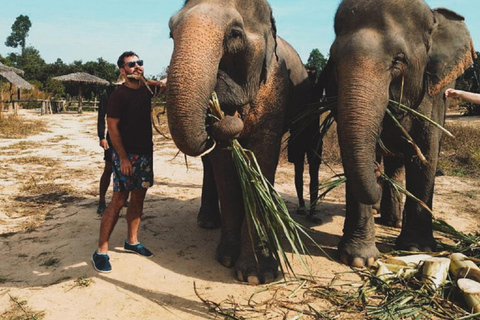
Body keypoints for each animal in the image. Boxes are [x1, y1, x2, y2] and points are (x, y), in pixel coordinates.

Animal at [165, 0, 310, 284]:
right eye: (171, 33)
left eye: (234, 34)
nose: (222, 115)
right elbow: (225, 169)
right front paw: (226, 258)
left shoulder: (275, 88)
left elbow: (262, 160)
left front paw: (257, 275)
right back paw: (208, 222)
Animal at [320, 0, 474, 268]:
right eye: (333, 61)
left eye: (398, 60)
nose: (376, 175)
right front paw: (359, 259)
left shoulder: (432, 97)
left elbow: (424, 157)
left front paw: (416, 248)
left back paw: (393, 220)